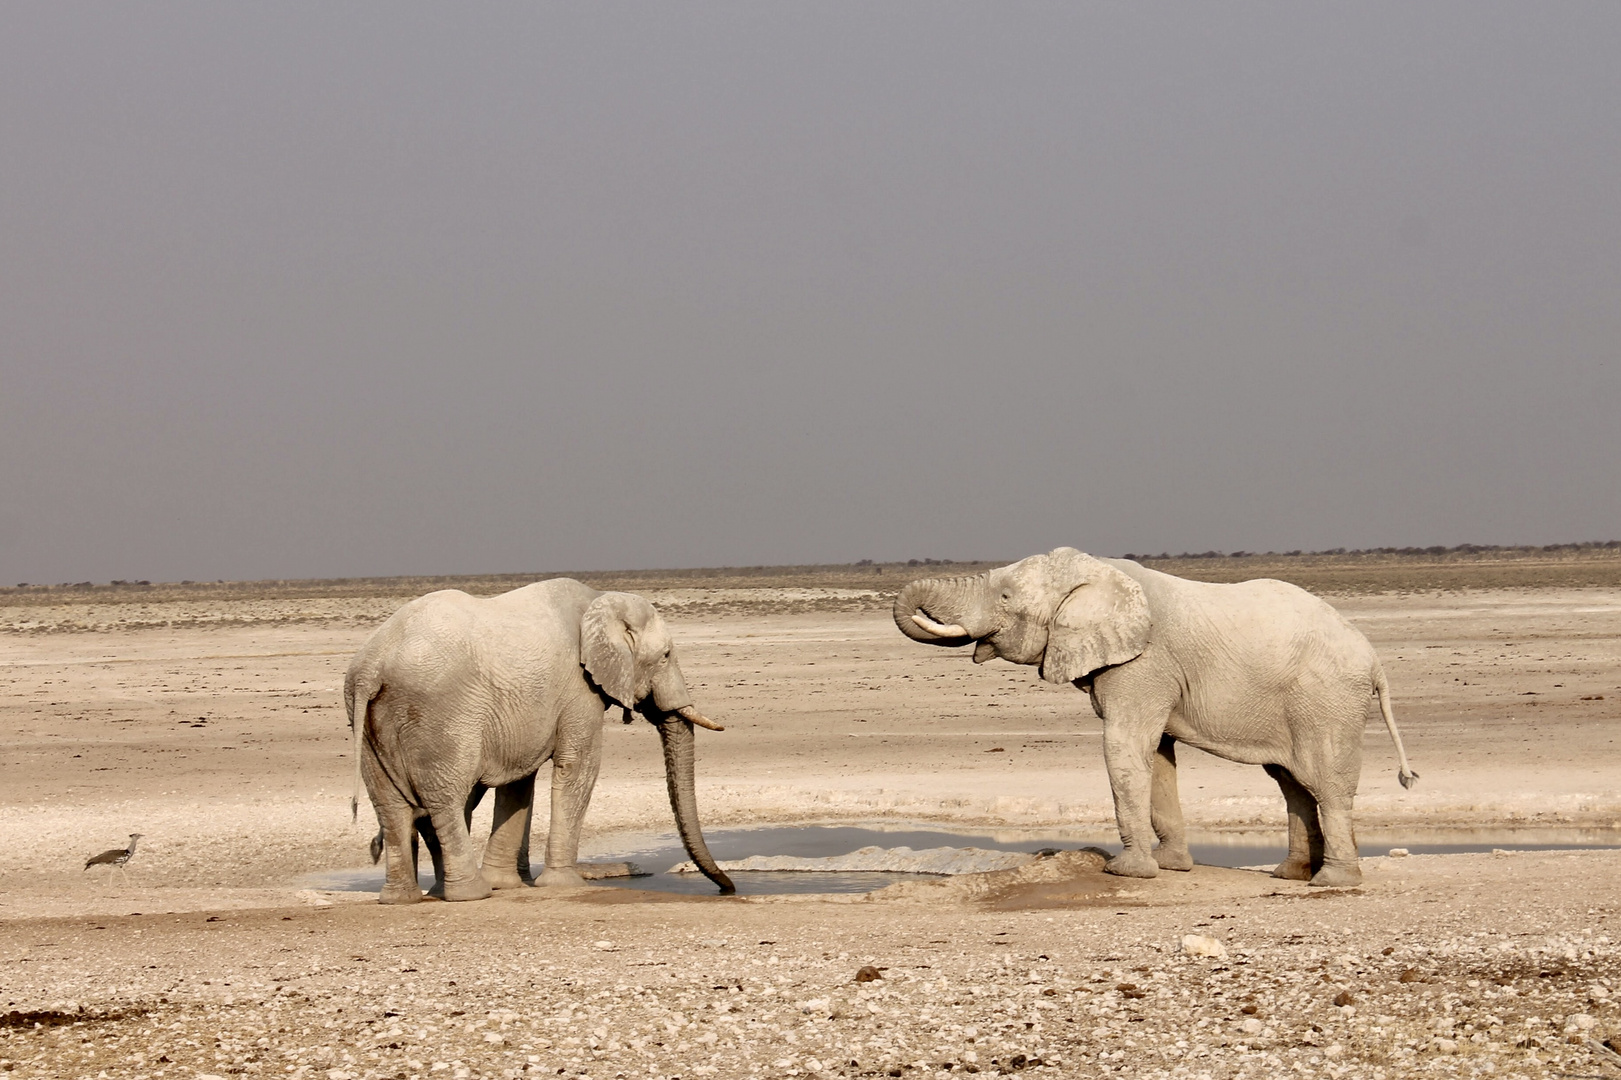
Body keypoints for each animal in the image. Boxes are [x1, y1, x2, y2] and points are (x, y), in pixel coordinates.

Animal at [351, 580, 739, 901]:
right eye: (666, 656)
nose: (728, 889)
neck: (599, 598)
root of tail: (371, 666)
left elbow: (520, 782)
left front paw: (508, 884)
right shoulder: (578, 689)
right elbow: (579, 767)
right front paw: (565, 884)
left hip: (372, 726)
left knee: (392, 806)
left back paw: (406, 898)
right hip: (442, 716)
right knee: (446, 800)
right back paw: (470, 893)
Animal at [894, 548, 1413, 882]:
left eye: (1004, 597)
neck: (1100, 575)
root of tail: (1374, 659)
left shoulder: (1143, 662)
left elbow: (1125, 747)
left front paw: (1127, 872)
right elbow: (1157, 756)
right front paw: (1170, 867)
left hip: (1327, 700)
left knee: (1324, 781)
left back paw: (1333, 881)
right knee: (1291, 783)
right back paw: (1290, 875)